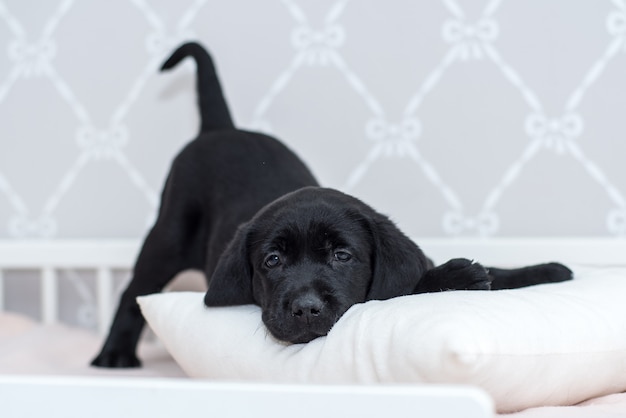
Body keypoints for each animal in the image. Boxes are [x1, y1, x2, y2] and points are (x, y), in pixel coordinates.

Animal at [91, 42, 572, 368]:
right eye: (272, 261)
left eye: (342, 256)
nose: (306, 308)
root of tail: (220, 129)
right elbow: (406, 286)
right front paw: (457, 277)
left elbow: (494, 271)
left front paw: (545, 271)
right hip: (168, 234)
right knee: (132, 292)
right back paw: (113, 355)